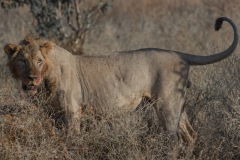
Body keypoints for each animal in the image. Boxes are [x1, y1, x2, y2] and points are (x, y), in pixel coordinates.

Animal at [3, 16, 238, 147]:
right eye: (23, 61)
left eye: (39, 61)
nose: (32, 78)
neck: (46, 79)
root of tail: (179, 54)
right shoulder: (53, 114)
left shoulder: (72, 110)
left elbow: (72, 138)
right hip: (179, 104)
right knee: (190, 135)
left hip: (167, 104)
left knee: (174, 140)